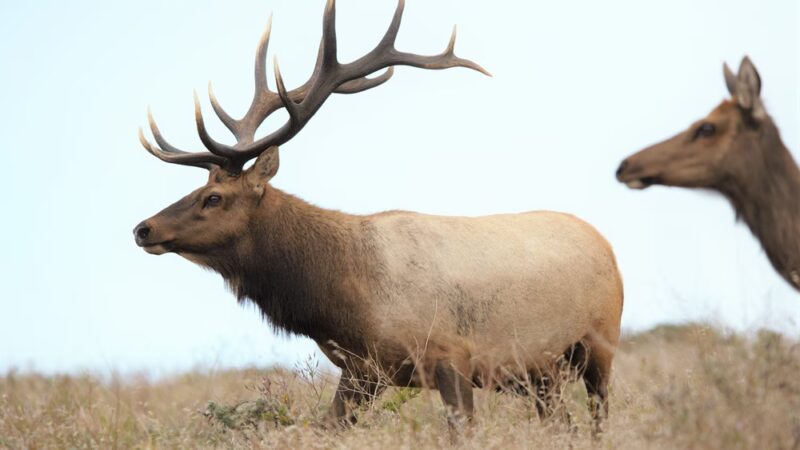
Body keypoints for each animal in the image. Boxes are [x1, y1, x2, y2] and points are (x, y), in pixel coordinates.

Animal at [134, 0, 624, 434]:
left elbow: (461, 430)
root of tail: (604, 243)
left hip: (600, 342)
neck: (345, 298)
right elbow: (329, 428)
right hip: (541, 373)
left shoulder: (452, 355)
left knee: (599, 417)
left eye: (213, 197)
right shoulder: (363, 369)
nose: (143, 228)